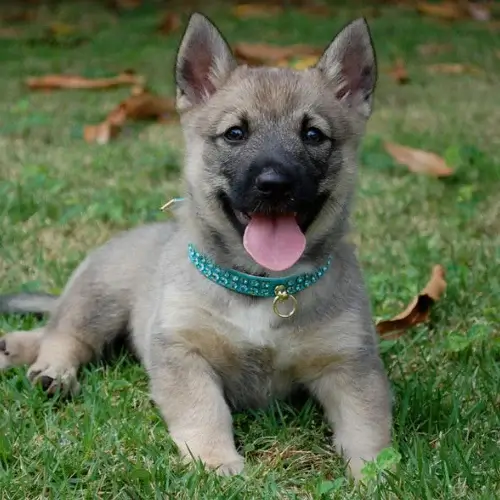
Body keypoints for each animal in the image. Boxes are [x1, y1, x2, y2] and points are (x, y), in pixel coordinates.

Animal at [0, 12, 390, 480]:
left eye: (313, 134)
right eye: (235, 133)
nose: (274, 184)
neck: (263, 287)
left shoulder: (349, 366)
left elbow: (366, 427)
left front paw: (378, 475)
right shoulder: (183, 353)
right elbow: (205, 412)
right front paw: (217, 462)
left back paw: (10, 347)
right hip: (99, 302)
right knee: (65, 334)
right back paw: (51, 370)